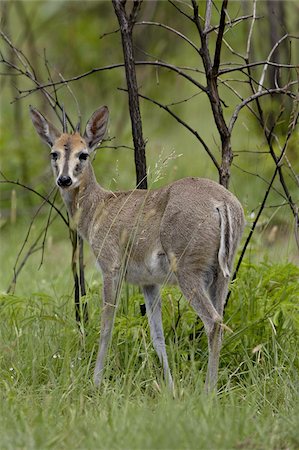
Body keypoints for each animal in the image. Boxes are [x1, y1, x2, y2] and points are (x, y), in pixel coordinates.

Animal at [29, 104, 246, 390]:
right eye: (54, 152)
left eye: (83, 153)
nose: (64, 180)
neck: (98, 207)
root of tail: (223, 203)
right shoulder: (148, 282)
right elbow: (158, 335)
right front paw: (170, 388)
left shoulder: (111, 268)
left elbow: (106, 326)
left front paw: (96, 382)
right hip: (221, 275)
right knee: (219, 319)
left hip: (189, 273)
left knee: (214, 323)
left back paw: (208, 390)